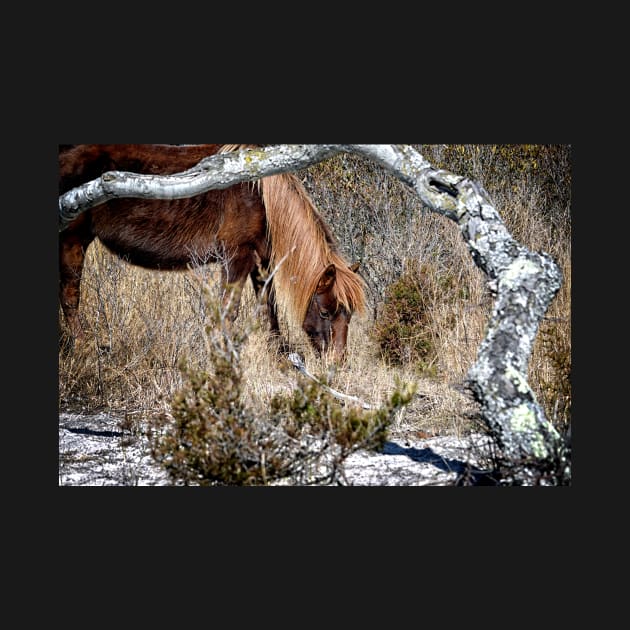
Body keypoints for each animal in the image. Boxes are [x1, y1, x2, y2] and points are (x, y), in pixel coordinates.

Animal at [59, 143, 368, 360]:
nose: (337, 363)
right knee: (70, 297)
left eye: (349, 315)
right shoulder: (236, 258)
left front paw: (279, 357)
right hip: (72, 239)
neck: (261, 198)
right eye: (326, 312)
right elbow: (228, 312)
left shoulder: (261, 264)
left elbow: (269, 312)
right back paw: (84, 349)